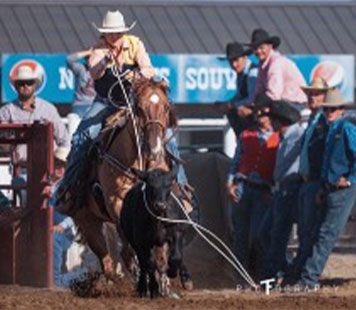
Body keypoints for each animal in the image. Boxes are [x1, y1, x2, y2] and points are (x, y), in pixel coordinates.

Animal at [71, 78, 175, 274]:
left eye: (166, 107)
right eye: (139, 108)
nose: (155, 149)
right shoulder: (116, 201)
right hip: (88, 221)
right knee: (108, 261)